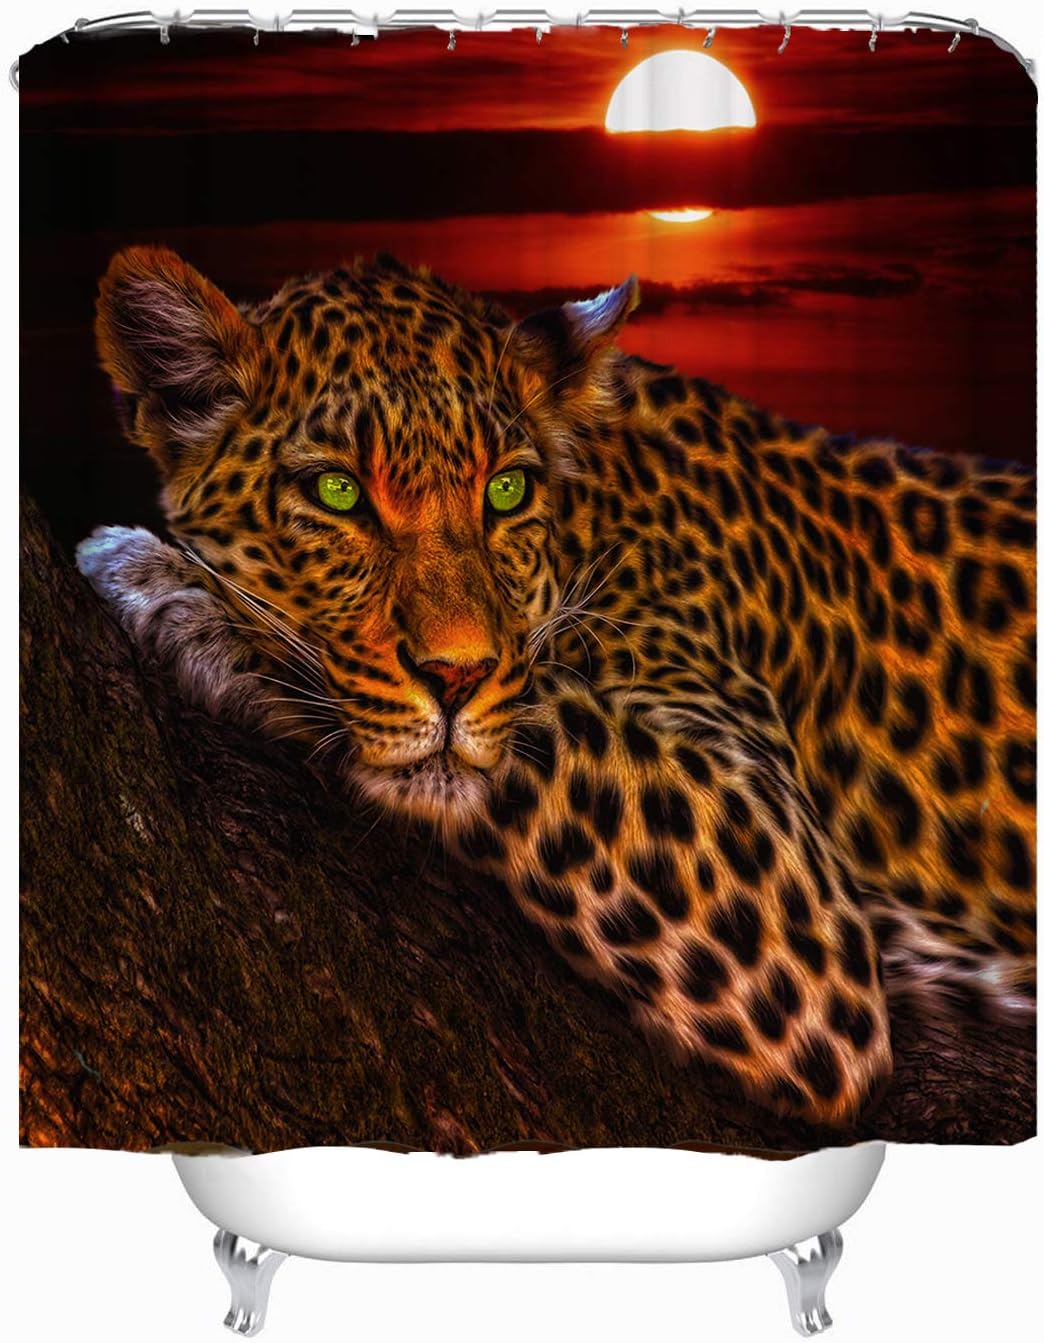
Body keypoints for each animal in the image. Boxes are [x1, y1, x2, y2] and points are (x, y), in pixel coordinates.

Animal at [77, 245, 1036, 1129]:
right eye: (338, 492)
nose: (456, 676)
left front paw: (175, 589)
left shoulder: (792, 895)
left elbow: (538, 719)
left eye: (506, 490)